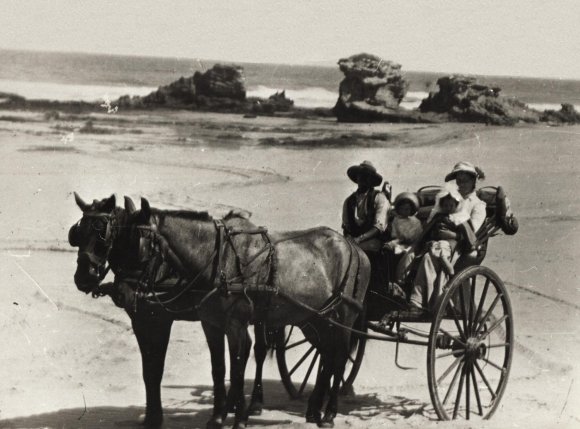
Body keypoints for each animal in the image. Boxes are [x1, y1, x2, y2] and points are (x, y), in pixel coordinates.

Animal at [67, 193, 274, 424]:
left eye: (103, 235)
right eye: (77, 235)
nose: (83, 278)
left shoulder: (160, 319)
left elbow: (157, 368)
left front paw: (155, 417)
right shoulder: (141, 320)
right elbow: (149, 371)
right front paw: (151, 416)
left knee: (259, 349)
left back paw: (255, 402)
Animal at [126, 197, 370, 428]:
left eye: (138, 243)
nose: (128, 293)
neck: (219, 260)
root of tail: (354, 248)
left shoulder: (235, 324)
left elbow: (237, 371)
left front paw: (239, 419)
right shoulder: (211, 324)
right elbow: (219, 369)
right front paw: (217, 418)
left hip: (344, 318)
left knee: (339, 359)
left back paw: (329, 414)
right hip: (318, 320)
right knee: (326, 355)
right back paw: (314, 410)